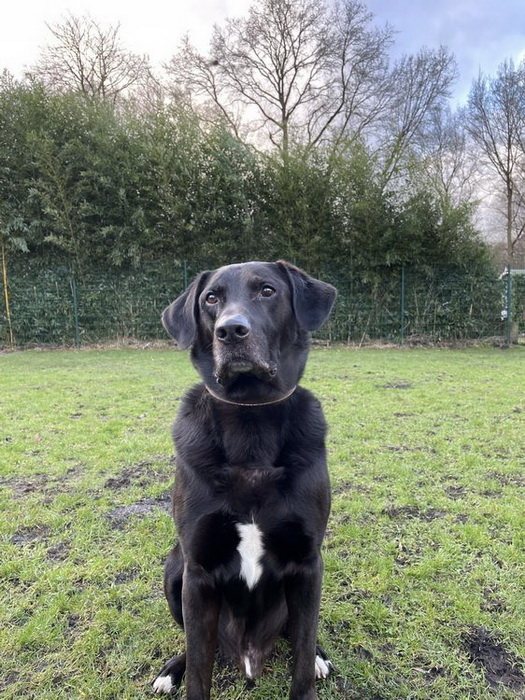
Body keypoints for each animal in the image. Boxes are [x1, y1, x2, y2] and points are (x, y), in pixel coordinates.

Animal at [153, 260, 336, 699]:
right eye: (211, 299)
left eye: (267, 290)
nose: (231, 331)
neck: (250, 419)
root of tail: (249, 654)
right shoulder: (197, 571)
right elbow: (199, 668)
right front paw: (185, 672)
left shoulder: (308, 563)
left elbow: (302, 658)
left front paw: (310, 667)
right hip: (174, 566)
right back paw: (172, 668)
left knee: (301, 637)